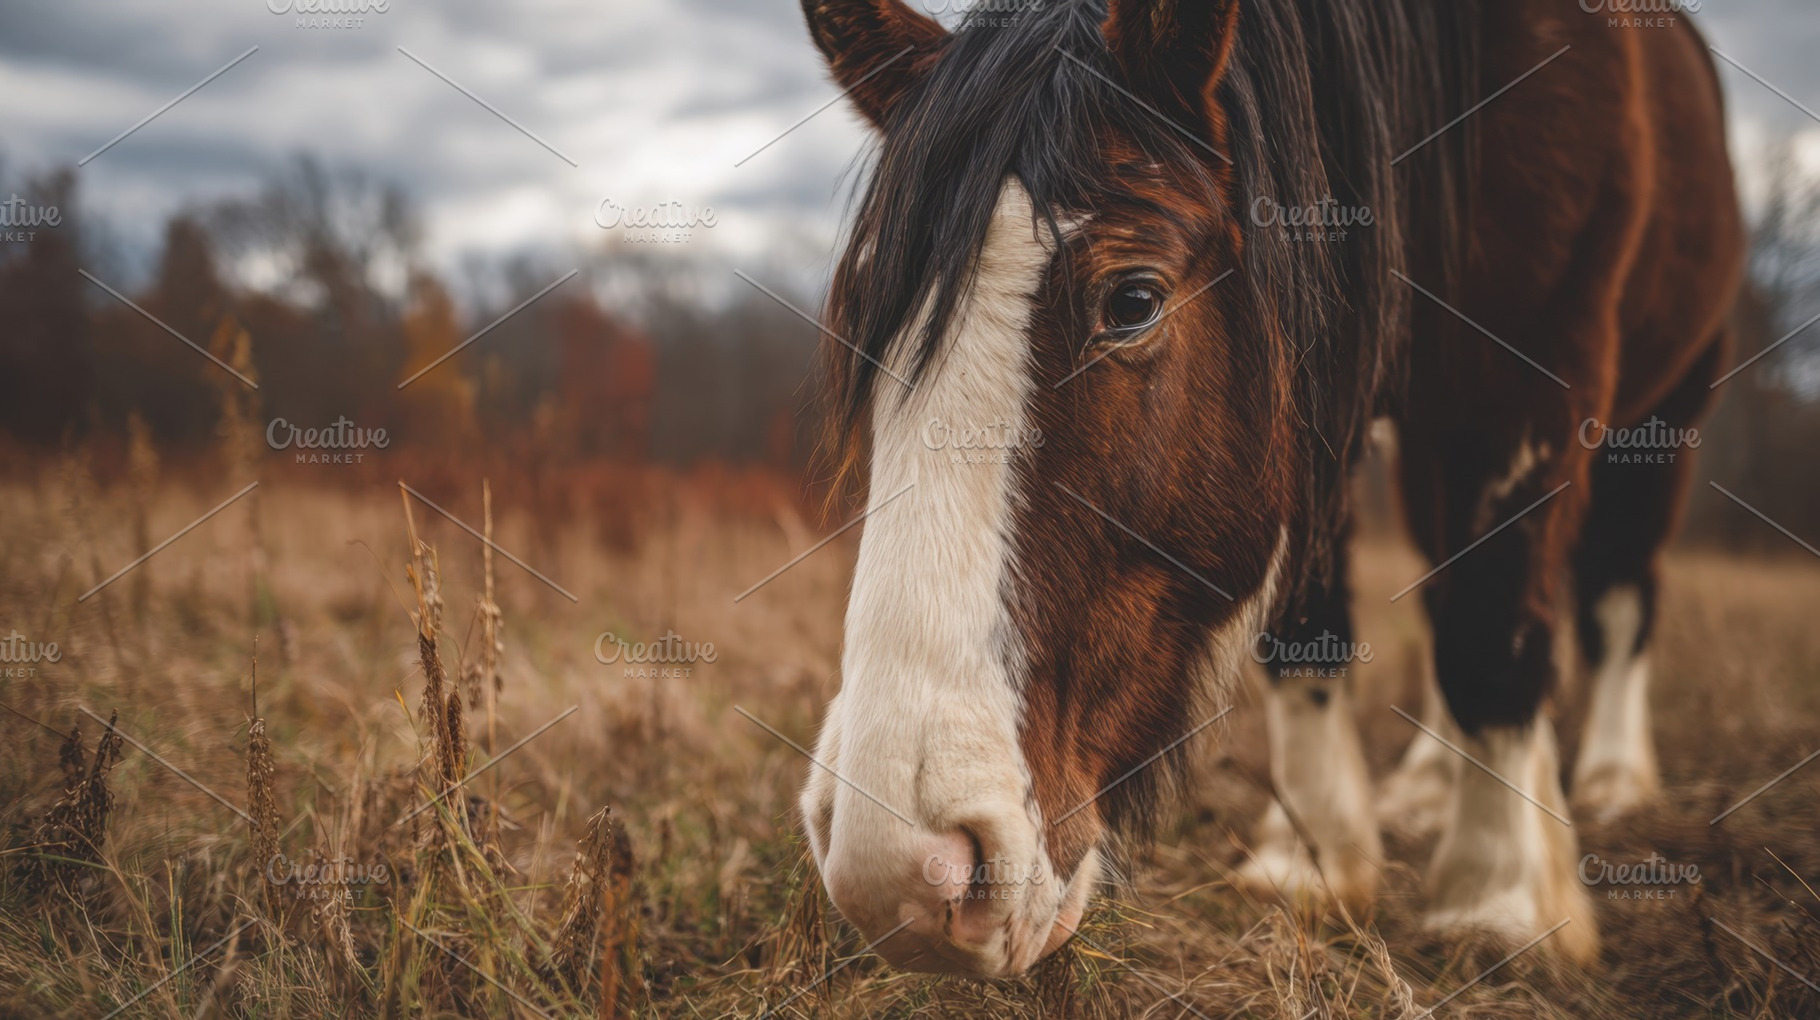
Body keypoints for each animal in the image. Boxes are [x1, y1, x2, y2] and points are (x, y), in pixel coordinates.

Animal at [794, 0, 1742, 977]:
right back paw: (1431, 781)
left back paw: (1611, 778)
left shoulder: (1532, 375)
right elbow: (1310, 625)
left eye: (1133, 301)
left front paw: (1500, 900)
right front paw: (1315, 859)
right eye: (869, 319)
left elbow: (1492, 631)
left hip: (1662, 409)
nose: (901, 866)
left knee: (1614, 592)